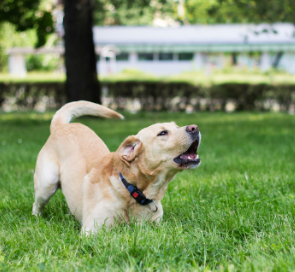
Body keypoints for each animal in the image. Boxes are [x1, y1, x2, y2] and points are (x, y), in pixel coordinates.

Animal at [33, 101, 202, 233]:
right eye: (162, 133)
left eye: (177, 126)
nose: (195, 127)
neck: (131, 188)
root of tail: (60, 127)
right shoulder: (92, 230)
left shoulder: (157, 226)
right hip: (47, 184)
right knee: (37, 204)